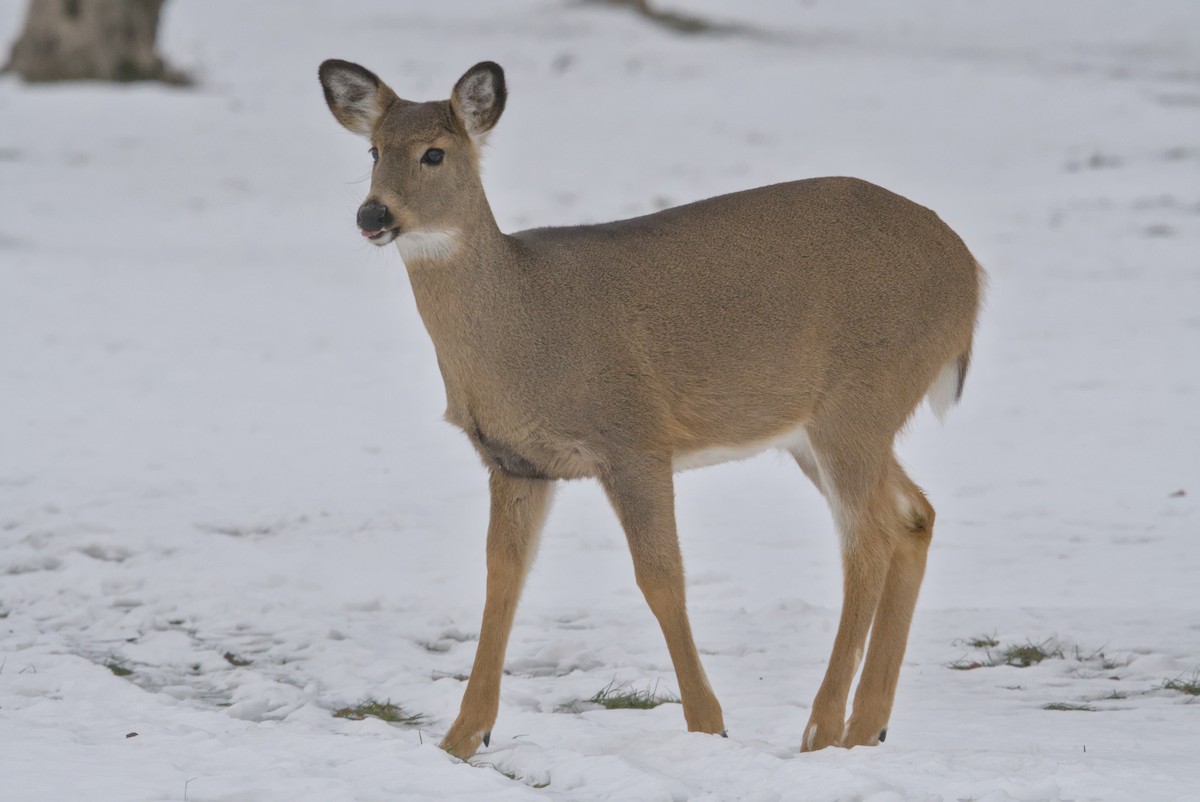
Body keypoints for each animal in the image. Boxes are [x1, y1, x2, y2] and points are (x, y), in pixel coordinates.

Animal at [317, 59, 983, 760]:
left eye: (435, 153)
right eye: (372, 150)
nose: (371, 213)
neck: (523, 324)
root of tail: (970, 273)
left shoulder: (633, 437)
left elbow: (661, 578)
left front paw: (709, 725)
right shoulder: (516, 460)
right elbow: (503, 579)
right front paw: (462, 738)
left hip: (859, 400)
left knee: (867, 542)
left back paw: (820, 730)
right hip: (818, 429)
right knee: (913, 516)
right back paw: (866, 729)